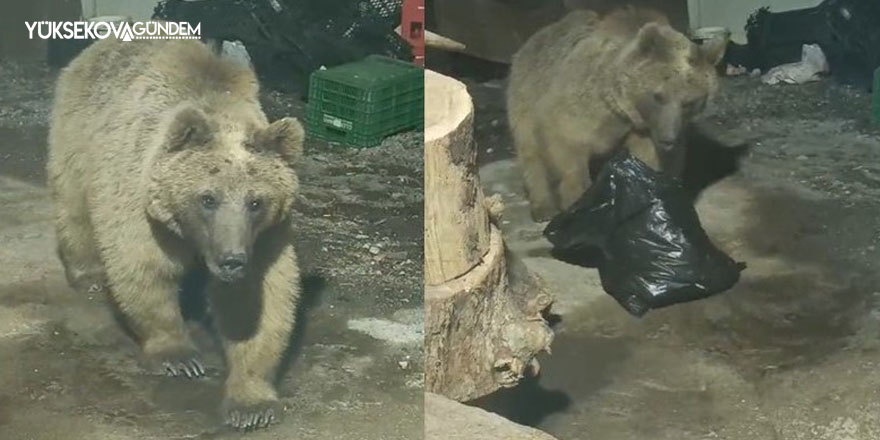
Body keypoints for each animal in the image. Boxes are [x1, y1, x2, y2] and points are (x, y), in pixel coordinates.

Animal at [46, 37, 306, 430]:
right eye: (208, 197)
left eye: (256, 201)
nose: (231, 260)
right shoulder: (142, 202)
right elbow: (144, 268)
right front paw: (178, 356)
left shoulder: (263, 238)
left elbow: (254, 303)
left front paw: (251, 403)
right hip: (79, 129)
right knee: (73, 200)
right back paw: (86, 273)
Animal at [506, 6, 724, 220]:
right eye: (659, 96)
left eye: (690, 102)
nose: (668, 139)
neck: (623, 108)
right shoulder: (581, 103)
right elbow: (565, 142)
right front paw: (578, 201)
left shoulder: (644, 130)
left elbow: (651, 161)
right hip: (525, 92)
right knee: (530, 152)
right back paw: (543, 208)